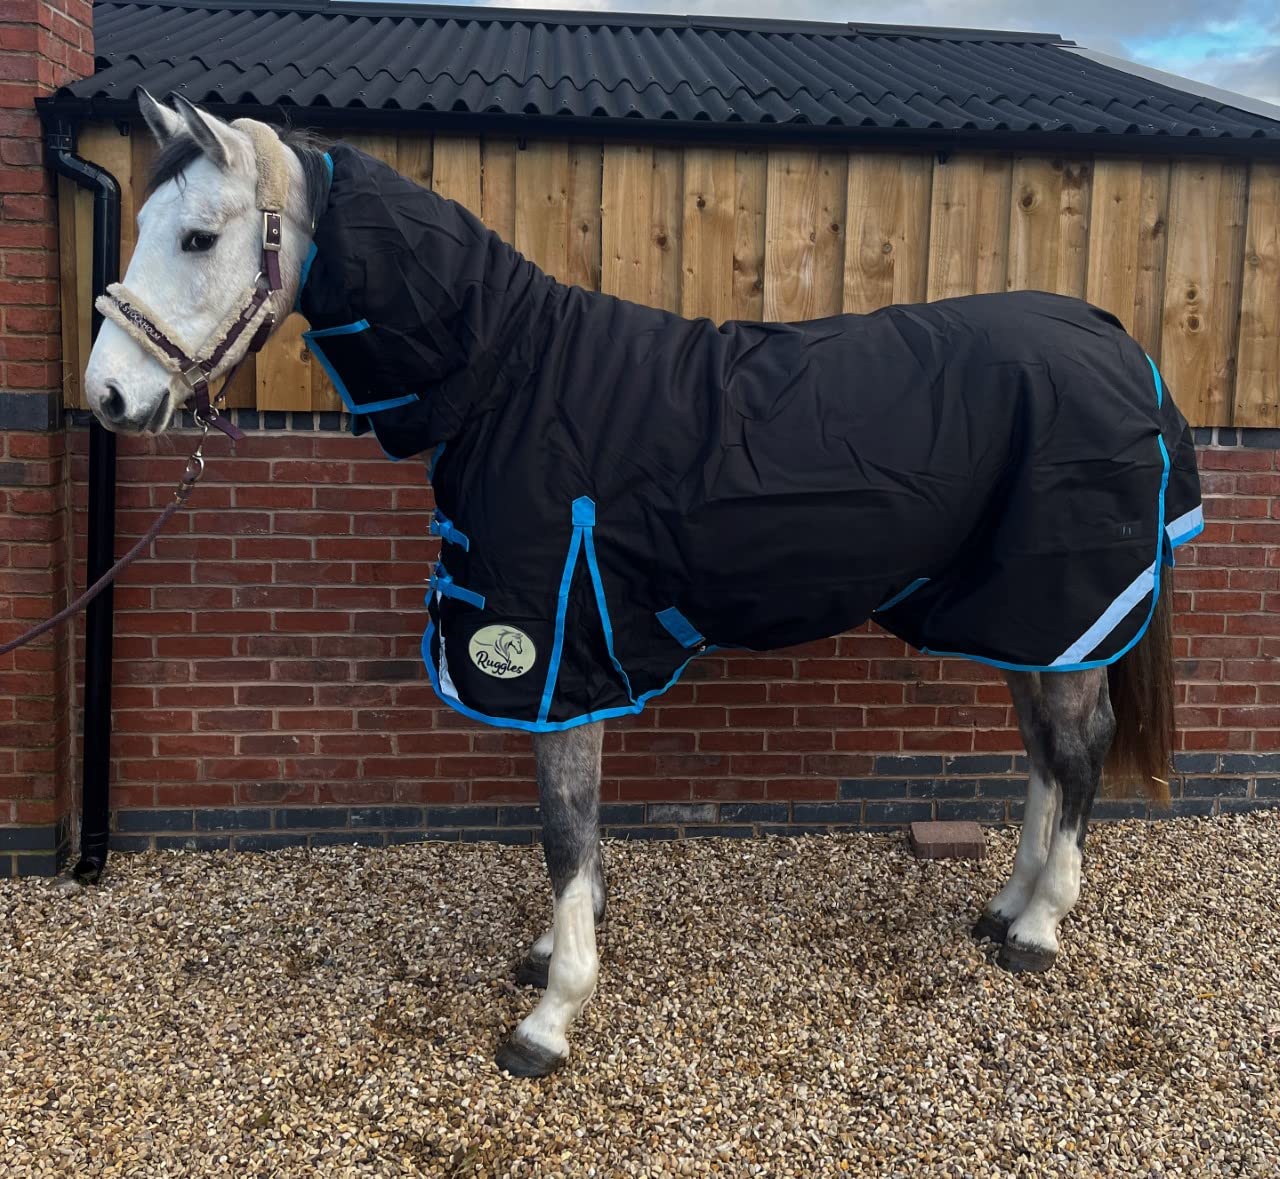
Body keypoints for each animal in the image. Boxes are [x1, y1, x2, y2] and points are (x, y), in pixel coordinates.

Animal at [83, 93, 1202, 1078]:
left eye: (196, 237)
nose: (109, 397)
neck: (510, 379)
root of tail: (1116, 338)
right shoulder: (575, 658)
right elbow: (572, 834)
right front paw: (552, 955)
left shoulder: (552, 652)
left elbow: (562, 831)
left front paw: (551, 1015)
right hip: (1017, 617)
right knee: (1047, 754)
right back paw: (1006, 907)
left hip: (1059, 604)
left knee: (1079, 750)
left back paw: (1041, 926)